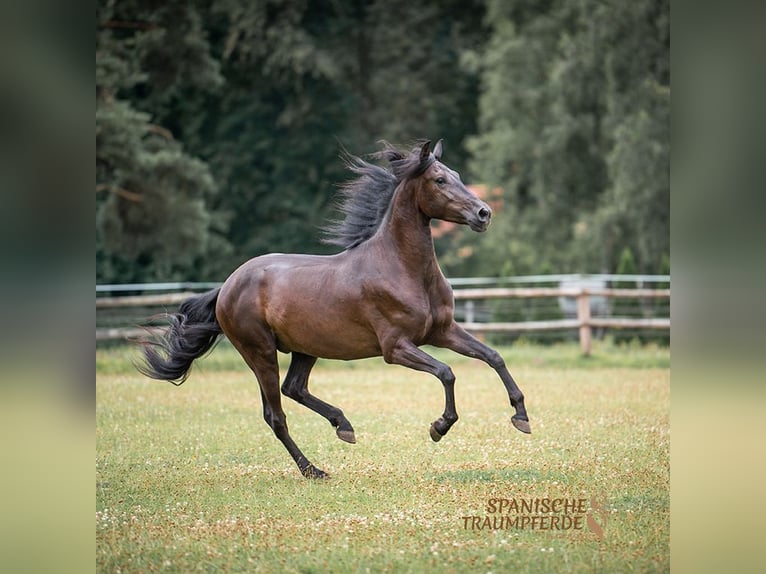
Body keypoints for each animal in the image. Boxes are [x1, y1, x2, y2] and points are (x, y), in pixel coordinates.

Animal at [141, 141, 532, 482]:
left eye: (457, 174)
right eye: (439, 180)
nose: (484, 213)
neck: (402, 268)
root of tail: (228, 285)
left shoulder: (443, 330)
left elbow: (493, 357)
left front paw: (522, 416)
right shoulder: (395, 347)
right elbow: (447, 372)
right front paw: (439, 427)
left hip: (305, 348)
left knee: (294, 388)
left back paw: (343, 426)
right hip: (260, 352)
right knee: (275, 415)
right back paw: (314, 470)